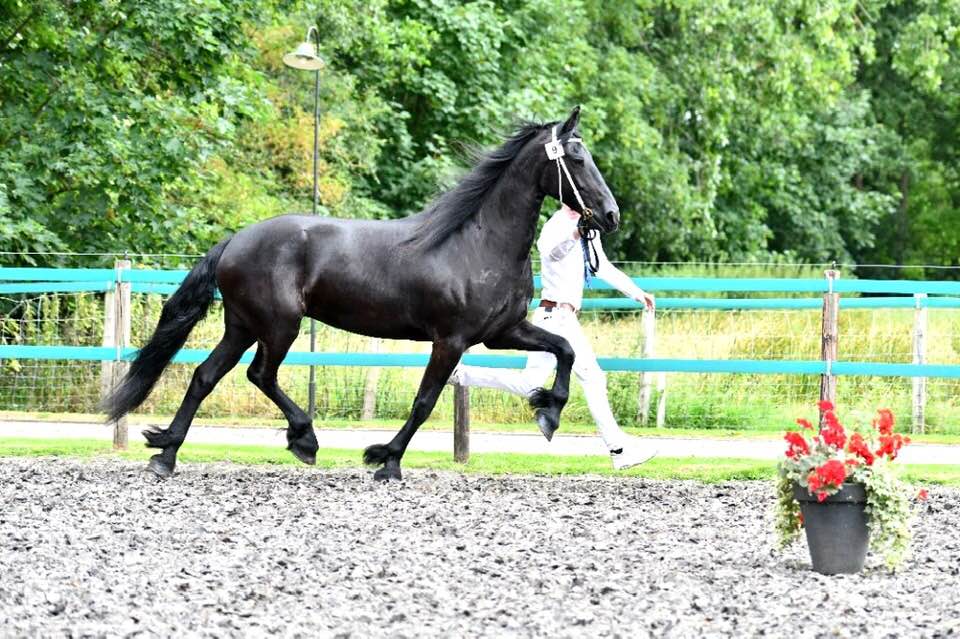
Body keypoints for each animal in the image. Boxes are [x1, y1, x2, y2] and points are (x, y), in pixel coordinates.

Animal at [104, 106, 621, 481]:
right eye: (577, 159)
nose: (611, 215)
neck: (476, 242)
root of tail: (236, 240)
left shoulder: (502, 331)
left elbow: (565, 349)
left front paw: (548, 412)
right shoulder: (451, 340)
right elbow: (424, 401)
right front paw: (385, 459)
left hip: (243, 325)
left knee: (207, 376)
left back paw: (166, 454)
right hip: (278, 325)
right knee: (259, 375)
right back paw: (303, 440)